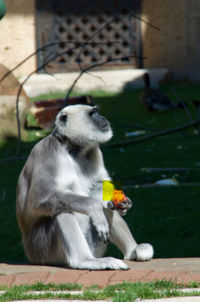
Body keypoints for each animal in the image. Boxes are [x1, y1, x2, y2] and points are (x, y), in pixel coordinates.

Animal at [16, 105, 154, 270]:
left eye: (96, 111)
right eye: (92, 114)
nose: (103, 118)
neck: (73, 150)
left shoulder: (93, 152)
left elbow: (99, 184)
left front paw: (122, 202)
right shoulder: (46, 152)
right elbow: (39, 200)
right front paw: (94, 207)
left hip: (94, 247)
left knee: (104, 208)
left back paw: (133, 251)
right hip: (42, 250)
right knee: (62, 212)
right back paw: (85, 260)